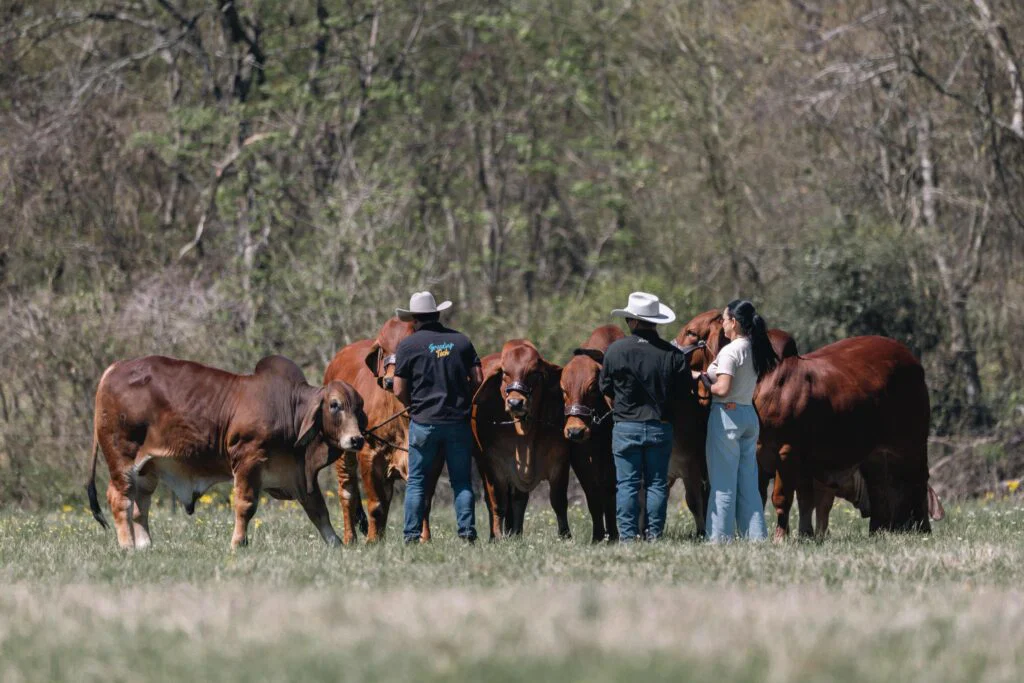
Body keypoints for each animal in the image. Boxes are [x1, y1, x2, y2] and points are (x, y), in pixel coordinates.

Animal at [85, 355, 366, 549]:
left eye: (359, 406)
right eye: (334, 405)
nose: (356, 440)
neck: (289, 409)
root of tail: (115, 368)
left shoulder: (298, 473)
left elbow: (318, 509)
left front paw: (336, 544)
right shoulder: (247, 459)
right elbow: (245, 505)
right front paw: (238, 543)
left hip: (147, 468)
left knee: (140, 505)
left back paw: (145, 545)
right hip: (122, 458)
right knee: (119, 499)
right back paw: (127, 546)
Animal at [322, 318, 443, 543]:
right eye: (383, 349)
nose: (389, 380)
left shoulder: (436, 457)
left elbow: (423, 501)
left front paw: (425, 539)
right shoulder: (369, 455)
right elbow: (376, 505)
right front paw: (372, 541)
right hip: (344, 453)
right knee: (347, 492)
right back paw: (350, 539)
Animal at [472, 340, 571, 538]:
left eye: (533, 372)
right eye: (505, 372)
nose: (515, 403)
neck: (525, 435)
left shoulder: (560, 462)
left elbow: (558, 502)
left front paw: (565, 536)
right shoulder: (493, 465)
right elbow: (498, 503)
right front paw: (498, 537)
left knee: (518, 500)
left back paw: (516, 533)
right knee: (494, 501)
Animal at [560, 324, 624, 542]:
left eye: (593, 388)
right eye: (563, 389)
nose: (575, 432)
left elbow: (611, 496)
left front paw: (613, 535)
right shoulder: (580, 461)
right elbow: (594, 498)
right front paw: (597, 536)